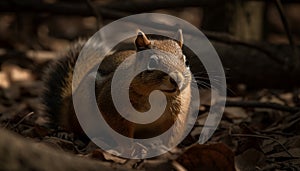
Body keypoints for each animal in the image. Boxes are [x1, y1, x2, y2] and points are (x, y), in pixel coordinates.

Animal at [40, 29, 192, 147]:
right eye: (152, 62)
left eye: (184, 60)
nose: (177, 78)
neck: (159, 96)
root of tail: (68, 110)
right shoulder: (112, 108)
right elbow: (121, 132)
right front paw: (130, 149)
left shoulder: (176, 115)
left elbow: (172, 134)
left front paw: (166, 148)